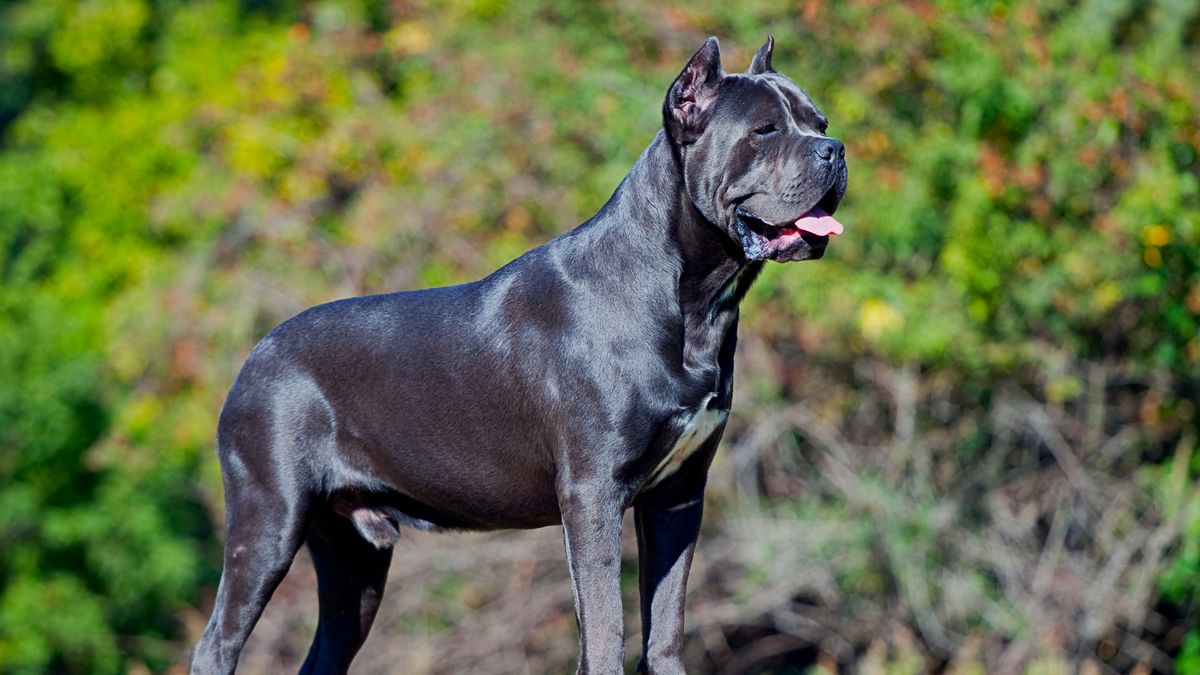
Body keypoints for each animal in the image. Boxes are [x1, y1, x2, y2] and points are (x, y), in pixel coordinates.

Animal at [192, 38, 849, 672]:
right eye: (765, 130)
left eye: (817, 121)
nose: (835, 148)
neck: (696, 299)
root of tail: (255, 355)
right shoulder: (592, 494)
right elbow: (604, 631)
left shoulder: (679, 494)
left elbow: (664, 628)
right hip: (268, 520)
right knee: (217, 643)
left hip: (353, 562)